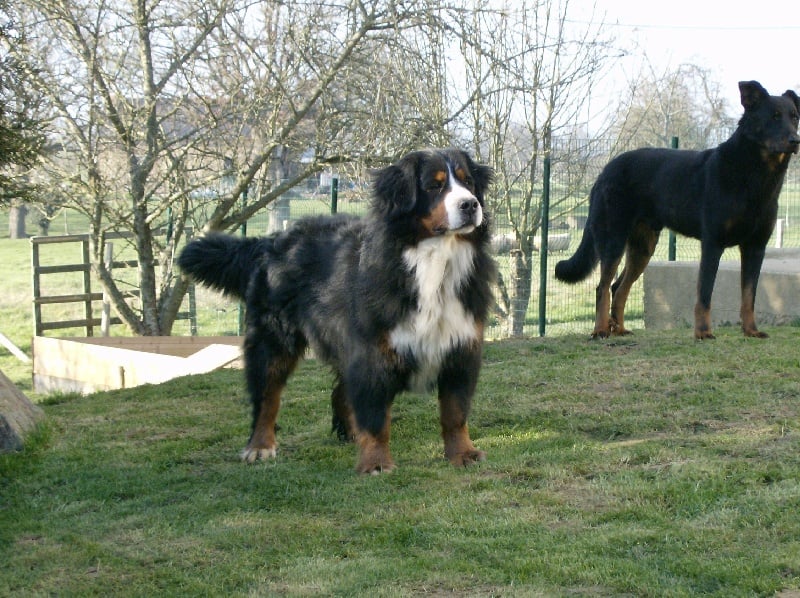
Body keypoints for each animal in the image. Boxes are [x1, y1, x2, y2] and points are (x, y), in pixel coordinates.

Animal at [178, 148, 496, 476]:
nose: (470, 204)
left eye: (467, 182)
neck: (433, 261)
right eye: (435, 185)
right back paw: (259, 446)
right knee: (267, 396)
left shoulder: (460, 346)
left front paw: (463, 453)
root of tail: (271, 241)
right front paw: (376, 462)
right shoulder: (372, 352)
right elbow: (375, 416)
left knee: (340, 392)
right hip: (274, 340)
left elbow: (455, 412)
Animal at [556, 81, 800, 340]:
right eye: (774, 116)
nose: (796, 140)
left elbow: (749, 296)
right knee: (602, 287)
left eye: (794, 117)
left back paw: (619, 328)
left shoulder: (755, 247)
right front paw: (703, 332)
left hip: (643, 247)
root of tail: (604, 171)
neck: (756, 175)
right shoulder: (712, 245)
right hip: (613, 240)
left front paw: (751, 330)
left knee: (618, 287)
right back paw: (600, 330)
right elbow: (704, 295)